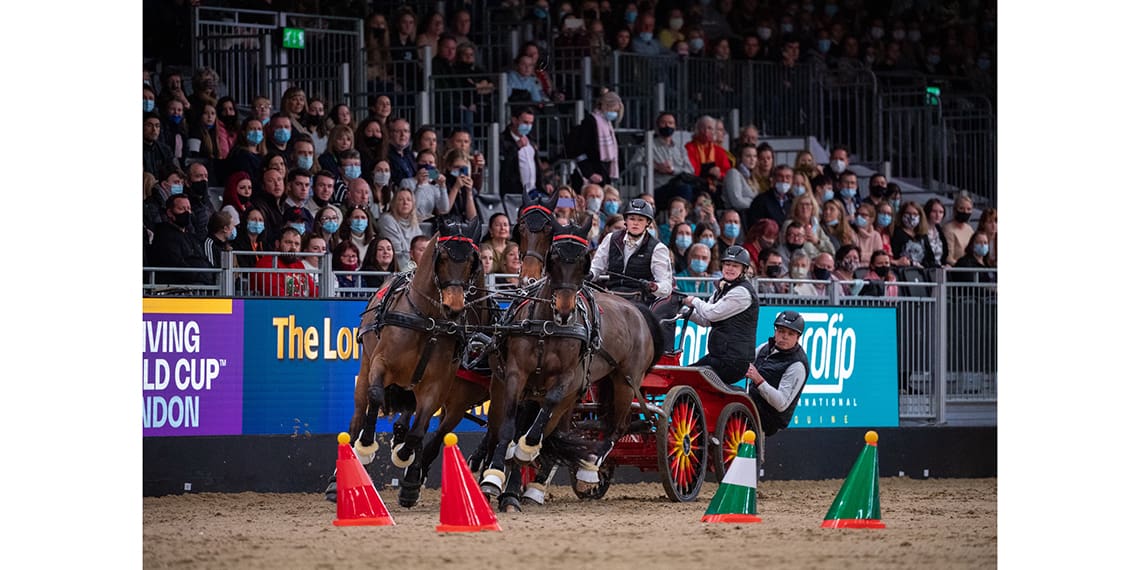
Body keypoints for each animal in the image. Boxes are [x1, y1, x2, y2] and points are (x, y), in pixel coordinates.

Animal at [345, 218, 485, 488]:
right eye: (442, 257)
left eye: (472, 261)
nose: (454, 307)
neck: (428, 321)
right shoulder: (381, 363)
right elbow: (376, 395)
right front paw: (366, 444)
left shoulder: (436, 385)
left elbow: (419, 430)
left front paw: (405, 457)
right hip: (366, 365)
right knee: (358, 414)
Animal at [480, 220, 666, 500]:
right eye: (554, 257)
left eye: (583, 260)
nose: (565, 311)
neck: (546, 326)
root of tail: (637, 310)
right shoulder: (516, 373)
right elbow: (510, 425)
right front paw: (493, 476)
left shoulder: (566, 378)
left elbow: (541, 419)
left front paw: (525, 451)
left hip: (625, 381)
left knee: (618, 426)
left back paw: (589, 470)